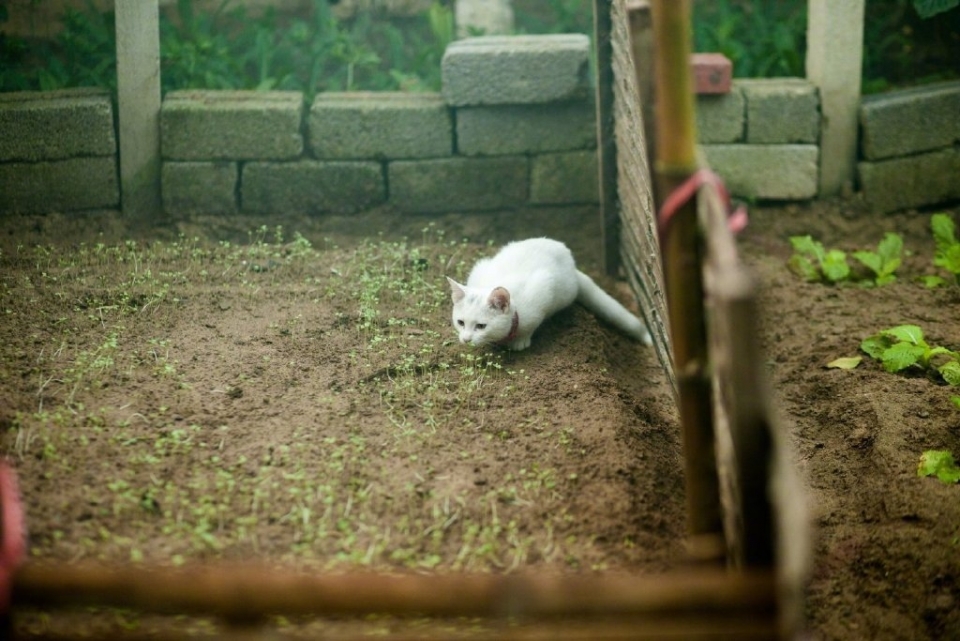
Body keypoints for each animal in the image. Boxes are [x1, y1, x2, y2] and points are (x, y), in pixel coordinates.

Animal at [444, 238, 652, 350]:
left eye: (481, 326)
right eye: (460, 322)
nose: (466, 339)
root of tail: (572, 264)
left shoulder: (542, 291)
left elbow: (530, 327)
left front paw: (520, 341)